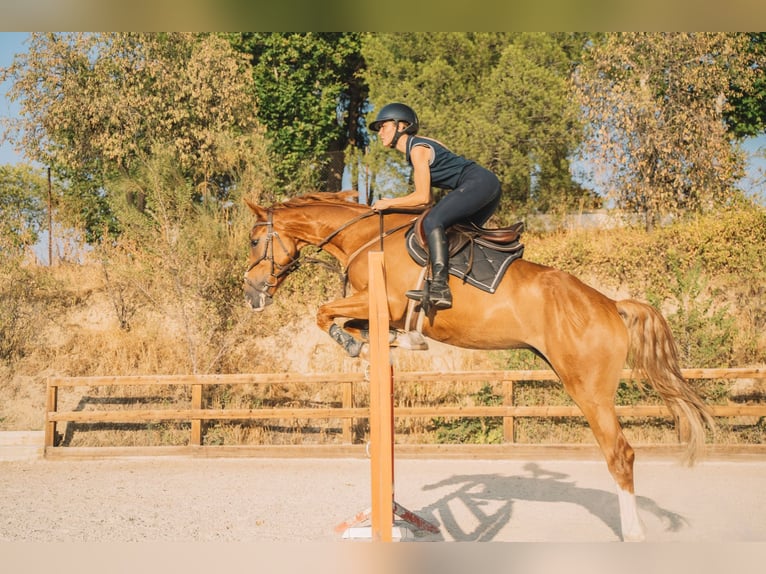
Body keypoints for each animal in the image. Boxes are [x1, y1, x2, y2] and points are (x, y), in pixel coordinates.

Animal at [243, 191, 716, 544]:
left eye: (251, 241)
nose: (251, 293)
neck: (364, 235)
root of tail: (611, 304)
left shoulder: (385, 302)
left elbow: (324, 313)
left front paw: (350, 343)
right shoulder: (378, 311)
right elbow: (345, 320)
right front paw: (370, 342)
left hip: (588, 390)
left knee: (620, 454)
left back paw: (633, 533)